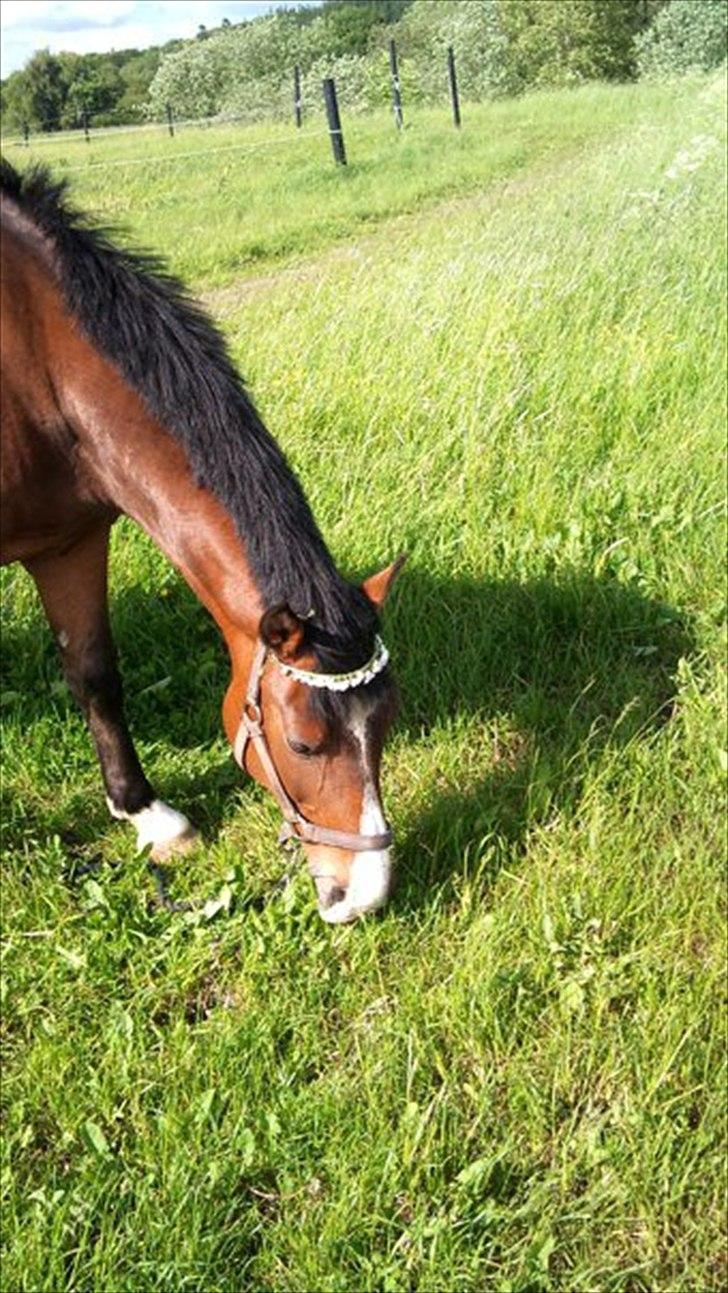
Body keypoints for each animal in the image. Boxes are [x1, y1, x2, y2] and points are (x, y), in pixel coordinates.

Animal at [0, 161, 403, 925]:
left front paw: (147, 814)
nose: (362, 896)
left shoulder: (70, 541)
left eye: (387, 723)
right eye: (304, 743)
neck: (28, 355)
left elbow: (94, 673)